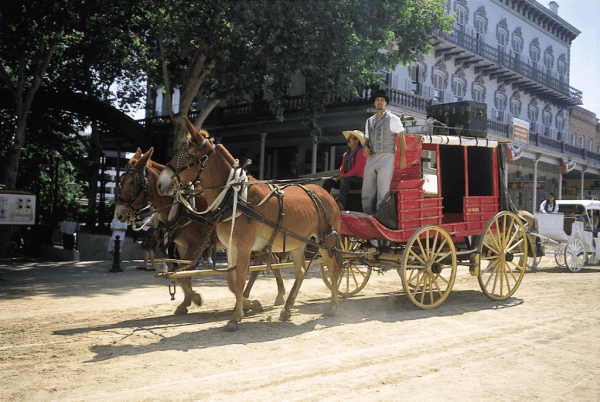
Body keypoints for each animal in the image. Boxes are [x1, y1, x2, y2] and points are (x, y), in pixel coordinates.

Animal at [115, 148, 288, 318]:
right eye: (121, 180)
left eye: (132, 182)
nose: (119, 214)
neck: (181, 207)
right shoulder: (182, 246)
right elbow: (182, 275)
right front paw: (186, 301)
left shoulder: (195, 245)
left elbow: (182, 273)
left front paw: (194, 298)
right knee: (270, 261)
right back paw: (266, 295)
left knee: (266, 263)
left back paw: (265, 297)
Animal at [156, 118, 342, 332]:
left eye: (188, 154)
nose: (160, 183)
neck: (235, 196)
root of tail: (326, 193)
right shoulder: (231, 247)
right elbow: (231, 282)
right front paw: (250, 305)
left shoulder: (244, 247)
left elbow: (238, 282)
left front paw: (236, 317)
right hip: (298, 242)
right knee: (301, 271)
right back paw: (287, 308)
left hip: (327, 240)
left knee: (334, 269)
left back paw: (333, 305)